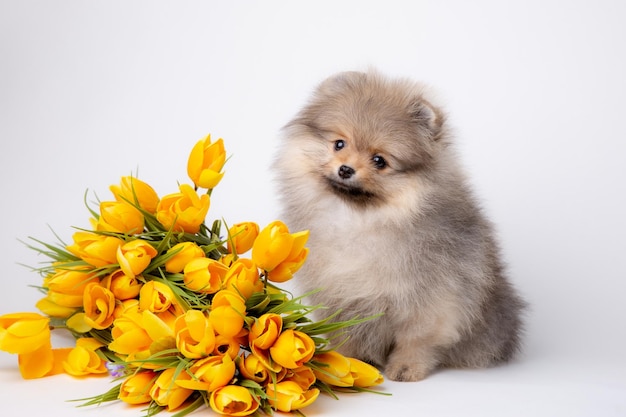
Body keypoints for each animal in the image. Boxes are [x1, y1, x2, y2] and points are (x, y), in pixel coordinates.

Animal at [276, 70, 524, 380]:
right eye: (339, 144)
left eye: (379, 161)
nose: (345, 169)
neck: (359, 219)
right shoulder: (342, 294)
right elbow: (346, 333)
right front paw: (347, 363)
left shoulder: (431, 298)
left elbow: (417, 339)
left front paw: (407, 368)